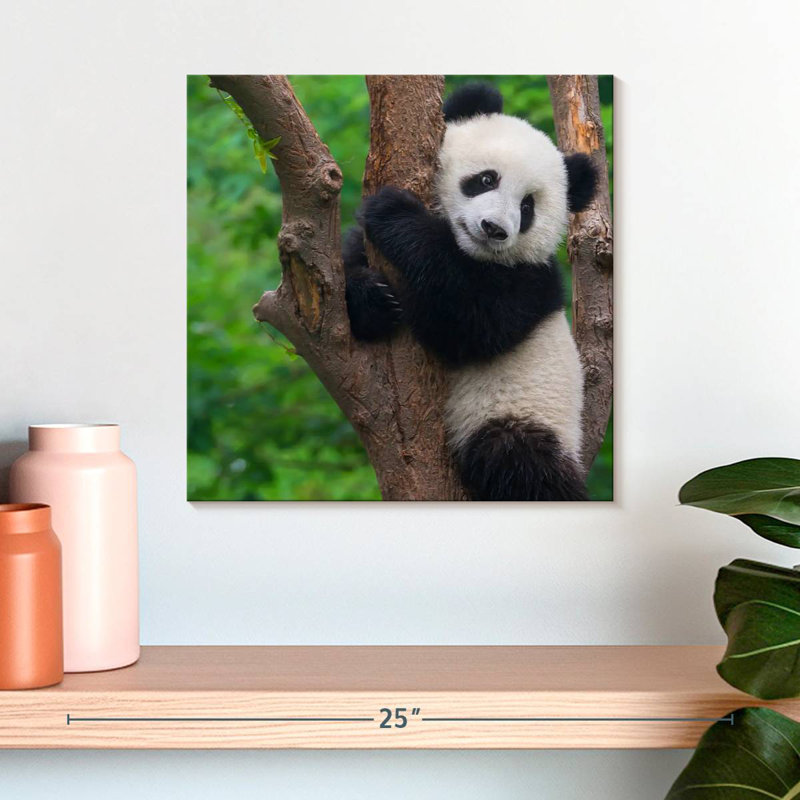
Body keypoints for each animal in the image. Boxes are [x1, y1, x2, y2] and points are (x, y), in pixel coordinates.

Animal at [343, 82, 598, 501]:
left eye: (527, 207)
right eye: (486, 179)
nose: (494, 228)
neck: (470, 253)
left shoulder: (530, 282)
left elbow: (470, 325)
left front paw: (395, 214)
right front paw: (371, 299)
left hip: (522, 414)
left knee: (518, 462)